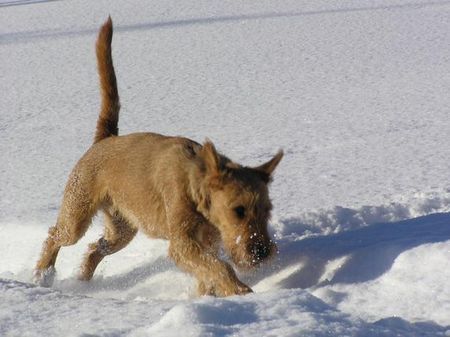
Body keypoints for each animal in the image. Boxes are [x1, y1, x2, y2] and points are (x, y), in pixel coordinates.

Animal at [34, 17, 282, 296]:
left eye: (267, 210)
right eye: (238, 210)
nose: (261, 252)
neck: (195, 185)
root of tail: (106, 139)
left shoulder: (206, 242)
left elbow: (207, 271)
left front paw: (208, 295)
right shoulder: (182, 243)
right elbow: (218, 266)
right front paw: (239, 291)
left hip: (121, 229)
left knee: (95, 248)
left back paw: (82, 281)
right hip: (77, 213)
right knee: (55, 235)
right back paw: (42, 275)